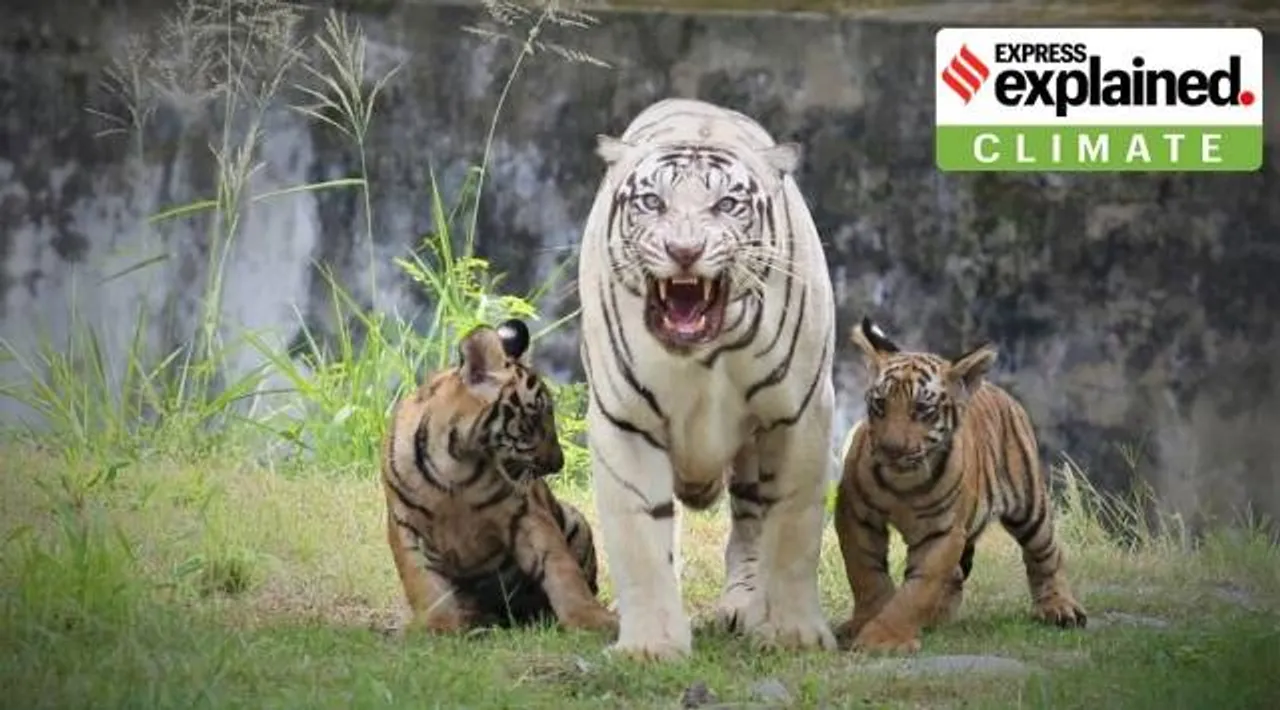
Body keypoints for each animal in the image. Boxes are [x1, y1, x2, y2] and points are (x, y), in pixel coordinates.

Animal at [380, 318, 617, 634]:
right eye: (533, 419)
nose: (559, 463)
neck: (457, 463)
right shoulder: (405, 523)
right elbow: (423, 581)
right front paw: (440, 626)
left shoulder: (525, 515)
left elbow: (561, 568)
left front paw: (592, 619)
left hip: (574, 519)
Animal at [577, 97, 838, 660]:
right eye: (652, 202)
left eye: (726, 205)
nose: (684, 250)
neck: (704, 353)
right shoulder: (625, 419)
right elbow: (640, 537)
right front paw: (650, 645)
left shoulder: (800, 414)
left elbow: (792, 525)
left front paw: (792, 632)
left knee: (750, 520)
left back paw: (744, 605)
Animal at [833, 317, 1087, 654]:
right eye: (880, 404)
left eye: (921, 409)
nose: (891, 450)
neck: (904, 483)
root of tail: (993, 387)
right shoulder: (856, 516)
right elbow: (866, 574)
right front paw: (867, 622)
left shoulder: (943, 533)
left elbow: (917, 588)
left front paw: (884, 638)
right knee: (954, 576)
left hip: (1030, 506)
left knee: (1047, 554)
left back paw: (1060, 608)